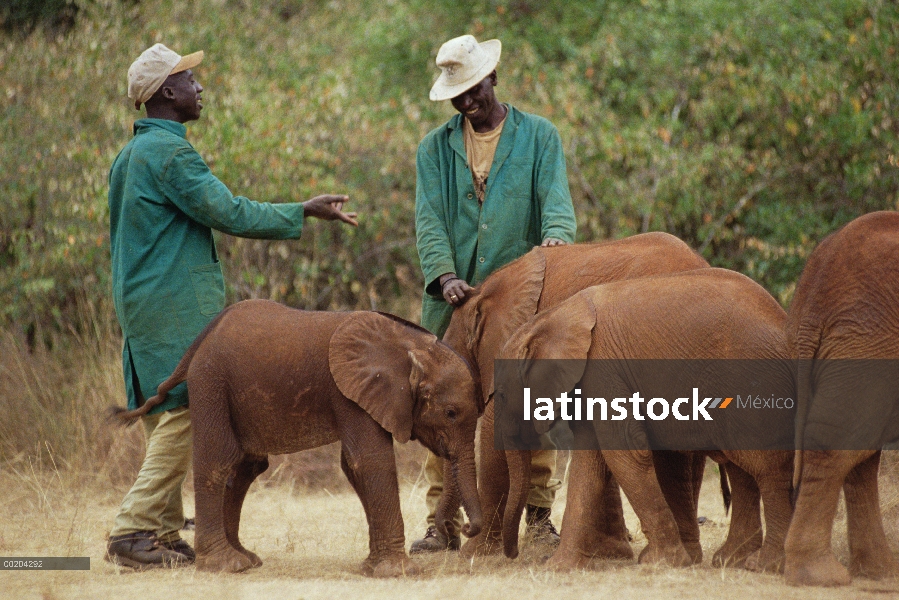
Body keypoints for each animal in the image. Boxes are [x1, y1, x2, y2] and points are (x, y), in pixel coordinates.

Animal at [119, 300, 488, 576]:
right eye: (451, 413)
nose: (464, 530)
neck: (410, 345)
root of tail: (203, 336)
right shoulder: (349, 392)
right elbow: (369, 460)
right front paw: (399, 572)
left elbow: (353, 465)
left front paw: (372, 567)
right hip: (211, 382)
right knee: (219, 461)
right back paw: (225, 565)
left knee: (245, 468)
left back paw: (246, 559)